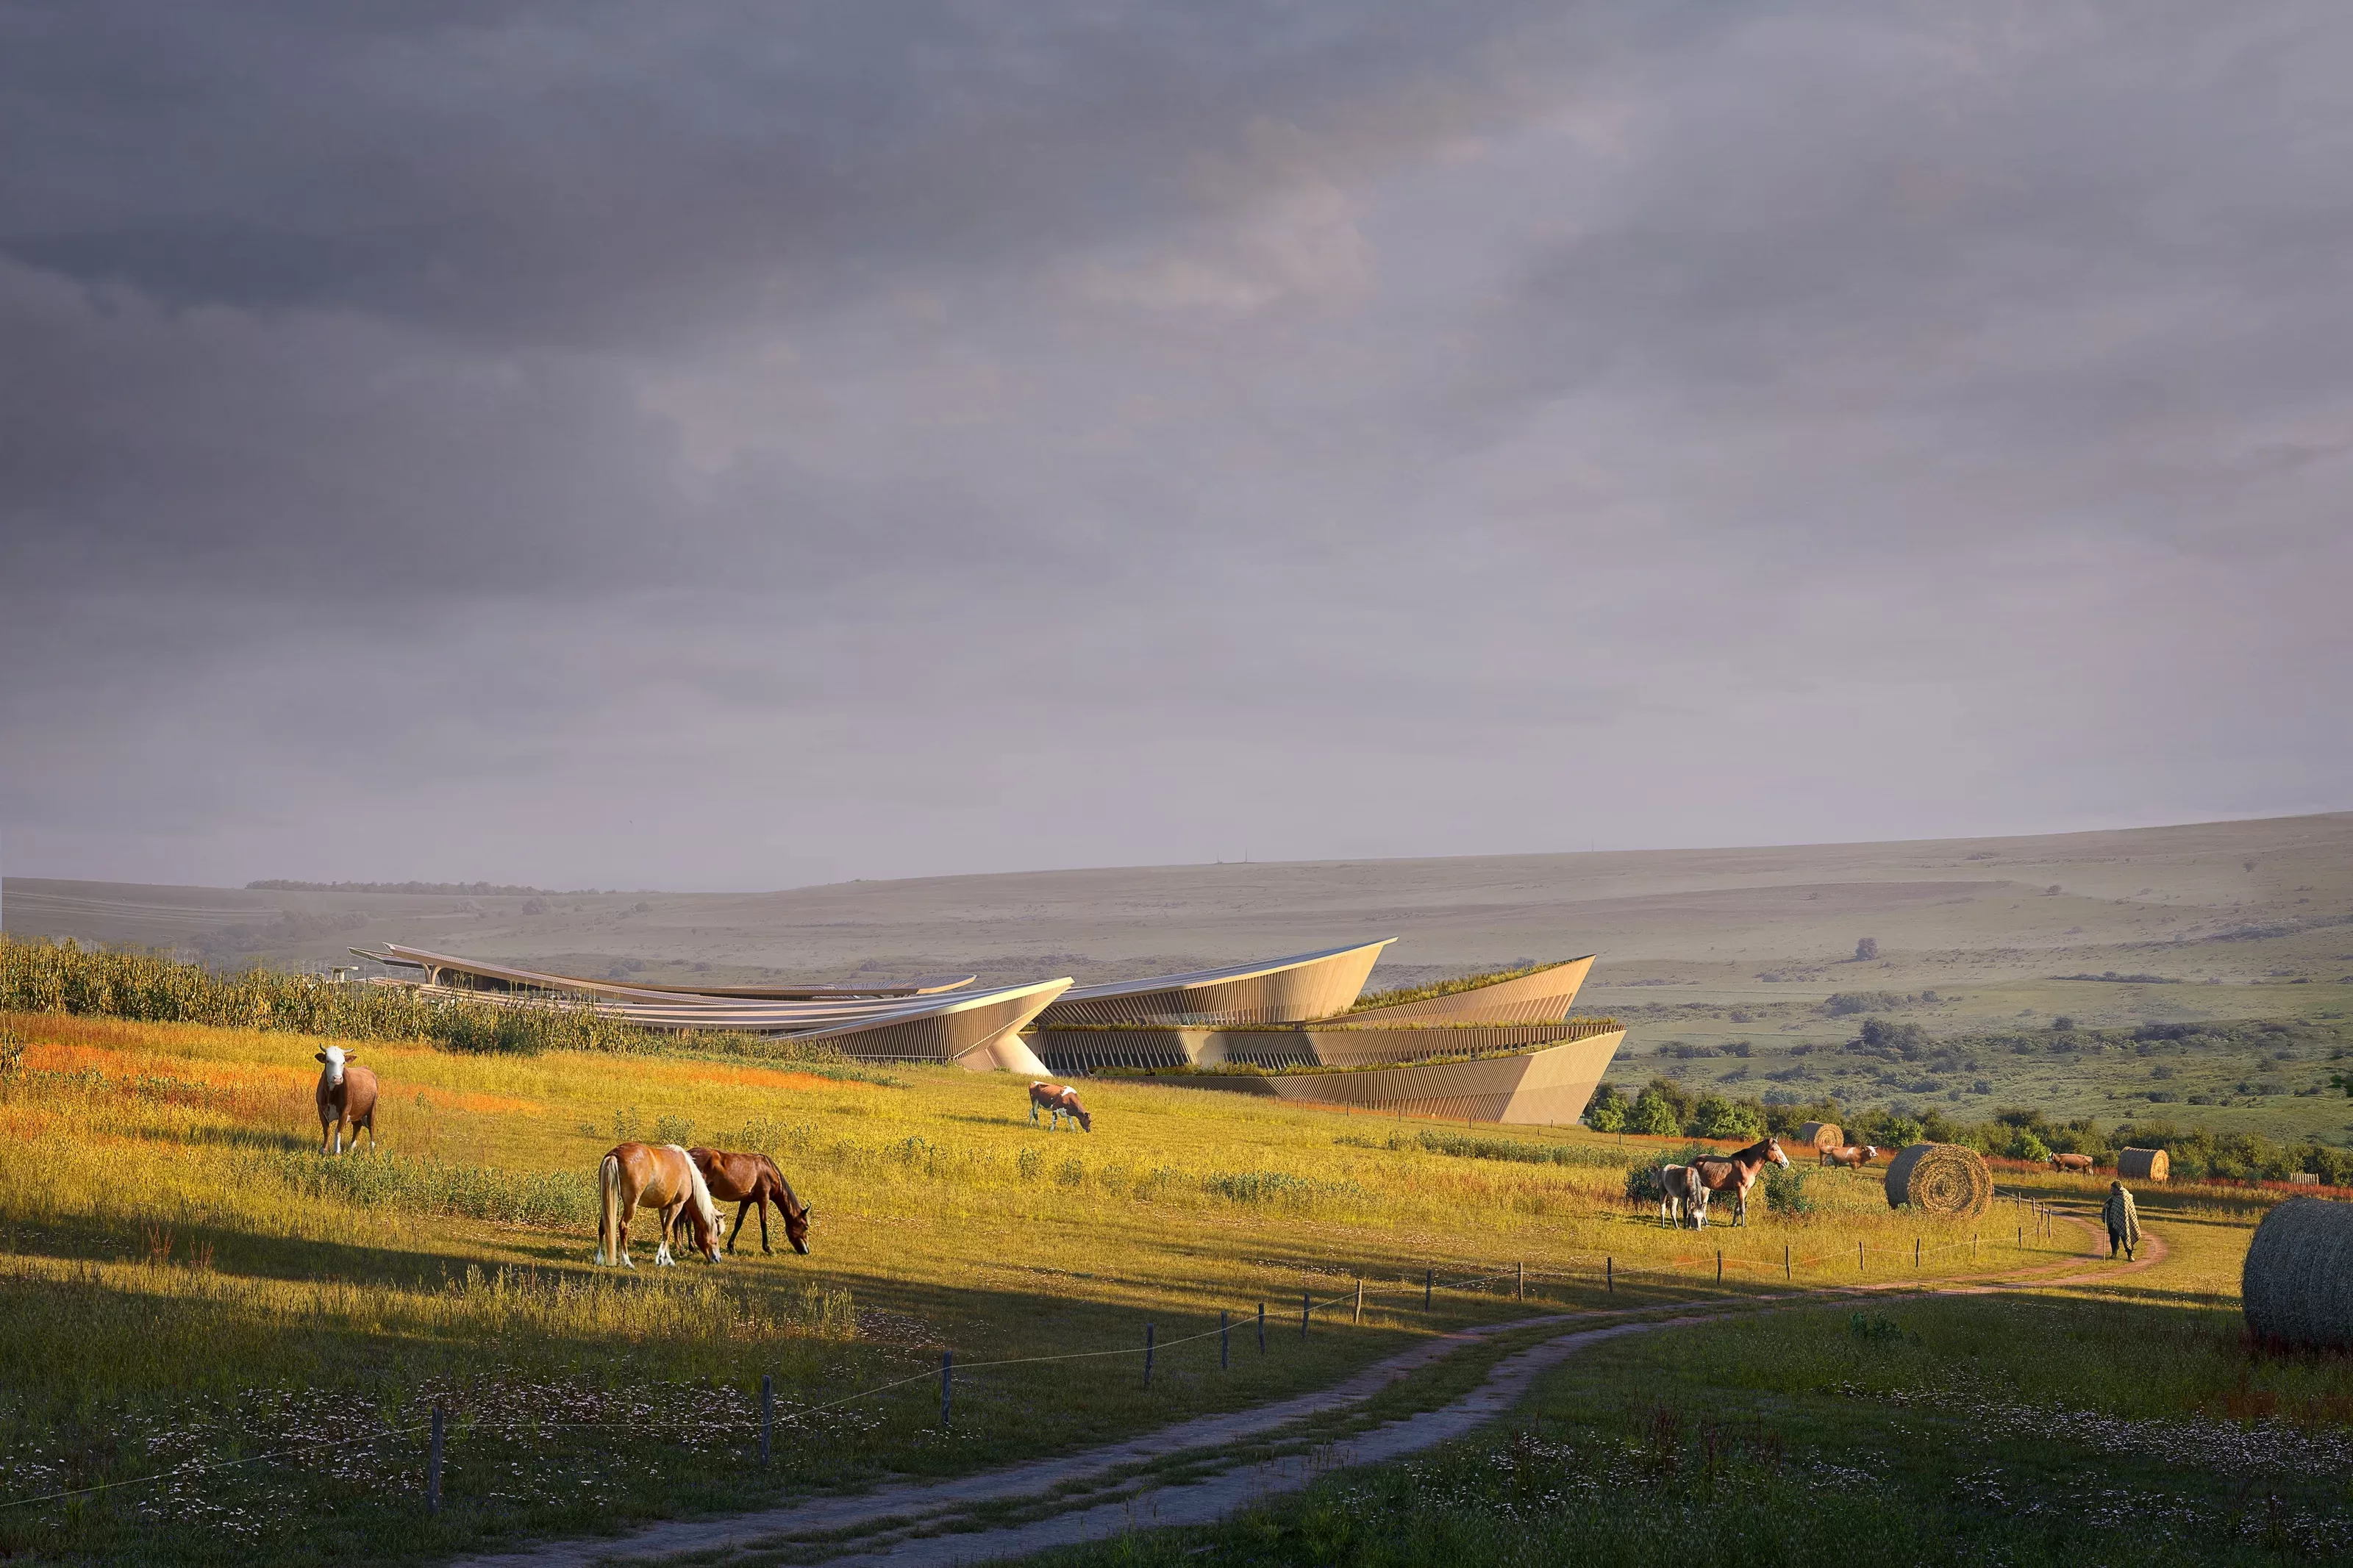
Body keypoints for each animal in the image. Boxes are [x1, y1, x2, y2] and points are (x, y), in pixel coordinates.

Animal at [315, 1048, 379, 1161]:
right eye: (328, 1061)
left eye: (343, 1062)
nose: (337, 1078)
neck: (331, 1094)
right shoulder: (321, 1109)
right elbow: (326, 1130)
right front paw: (324, 1150)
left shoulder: (345, 1111)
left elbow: (338, 1130)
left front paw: (337, 1152)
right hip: (357, 1112)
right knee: (357, 1126)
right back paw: (351, 1147)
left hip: (372, 1109)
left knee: (371, 1127)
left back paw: (371, 1149)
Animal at [593, 1142, 720, 1278]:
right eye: (716, 1234)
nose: (717, 1259)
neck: (687, 1170)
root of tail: (615, 1154)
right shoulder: (676, 1206)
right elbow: (668, 1231)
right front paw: (662, 1259)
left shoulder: (663, 1209)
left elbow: (665, 1231)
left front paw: (667, 1259)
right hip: (631, 1205)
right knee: (623, 1226)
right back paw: (627, 1262)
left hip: (607, 1200)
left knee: (603, 1227)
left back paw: (599, 1259)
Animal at [1685, 1142, 1788, 1222]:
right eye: (1774, 1149)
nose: (1786, 1164)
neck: (1747, 1166)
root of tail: (1691, 1161)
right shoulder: (1740, 1189)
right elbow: (1742, 1208)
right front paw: (1743, 1225)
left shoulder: (1744, 1191)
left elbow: (1737, 1208)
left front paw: (1734, 1224)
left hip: (1705, 1188)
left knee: (1703, 1206)